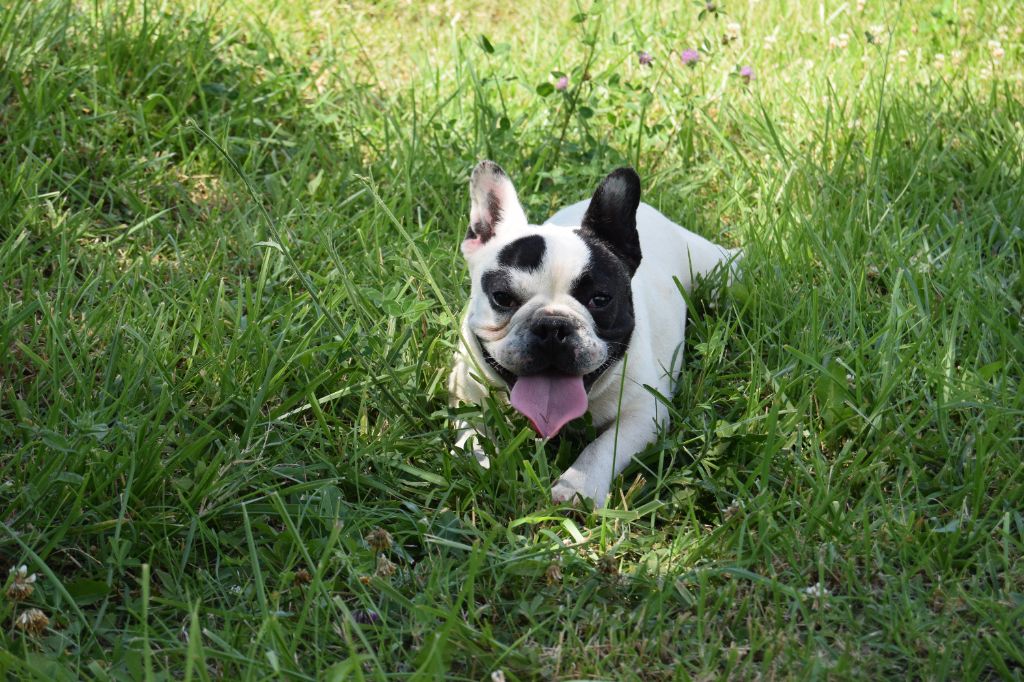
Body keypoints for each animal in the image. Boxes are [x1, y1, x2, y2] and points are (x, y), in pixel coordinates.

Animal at [449, 161, 737, 507]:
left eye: (600, 299)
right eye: (502, 297)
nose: (553, 326)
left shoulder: (645, 413)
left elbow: (601, 449)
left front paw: (576, 488)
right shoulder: (467, 391)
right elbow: (472, 431)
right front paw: (478, 464)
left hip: (714, 269)